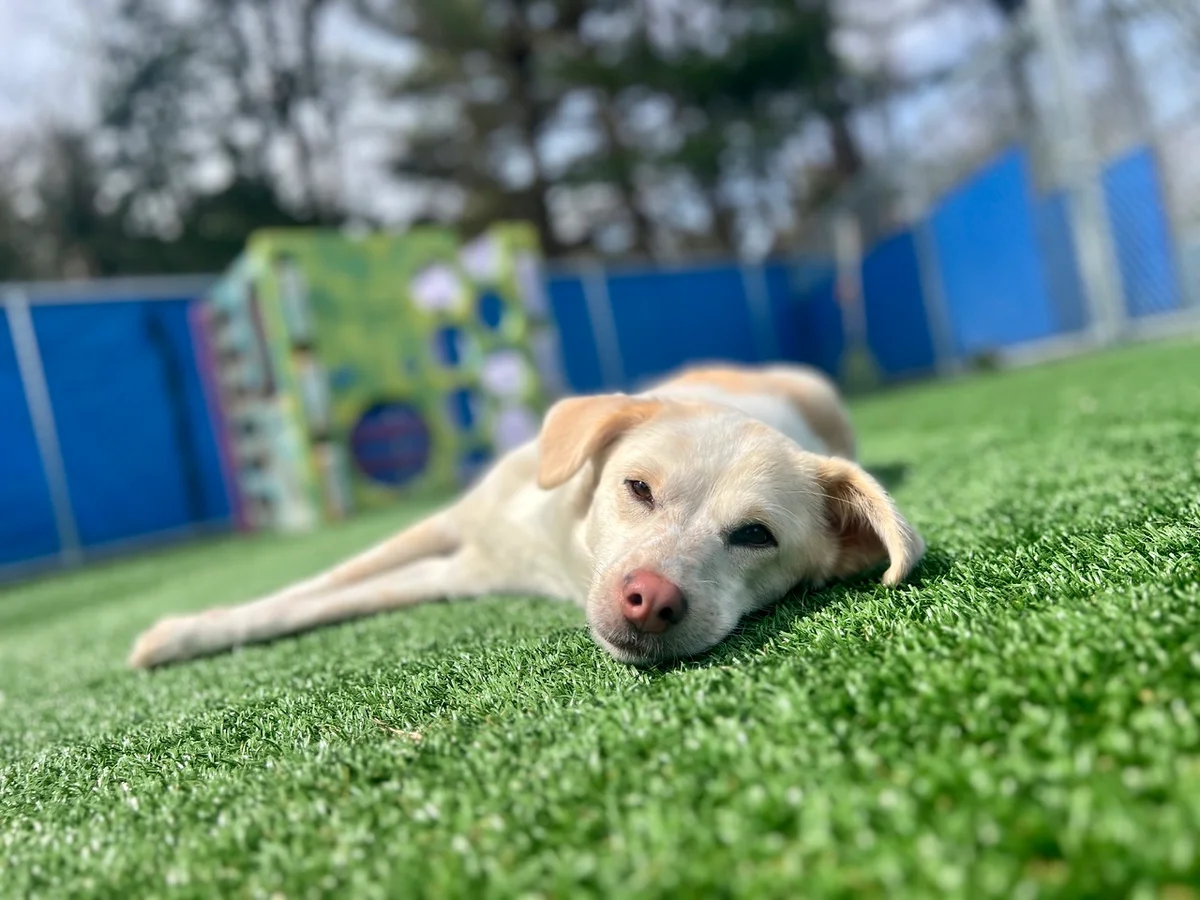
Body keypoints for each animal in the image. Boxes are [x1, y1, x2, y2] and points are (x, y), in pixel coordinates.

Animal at [128, 364, 925, 669]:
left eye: (755, 536)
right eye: (638, 488)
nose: (650, 599)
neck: (558, 546)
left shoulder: (452, 575)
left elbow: (329, 601)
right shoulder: (449, 530)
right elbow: (303, 596)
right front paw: (185, 633)